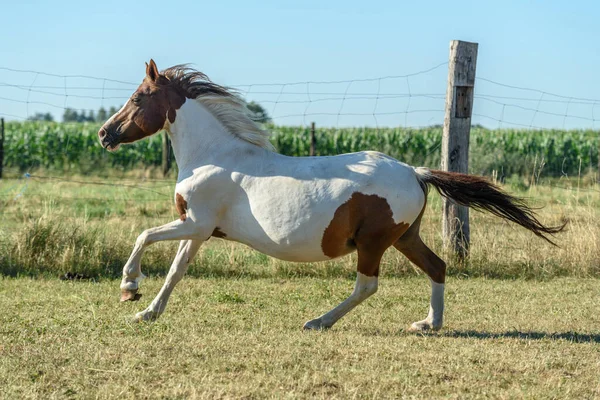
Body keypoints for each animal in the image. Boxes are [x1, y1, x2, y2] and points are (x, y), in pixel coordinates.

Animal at [98, 58, 568, 328]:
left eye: (138, 97)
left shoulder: (194, 223)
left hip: (374, 241)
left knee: (367, 286)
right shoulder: (197, 230)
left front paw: (128, 286)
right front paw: (145, 310)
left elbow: (144, 236)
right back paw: (427, 324)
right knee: (437, 266)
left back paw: (318, 322)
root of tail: (415, 172)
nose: (104, 134)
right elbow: (175, 272)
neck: (214, 154)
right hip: (405, 236)